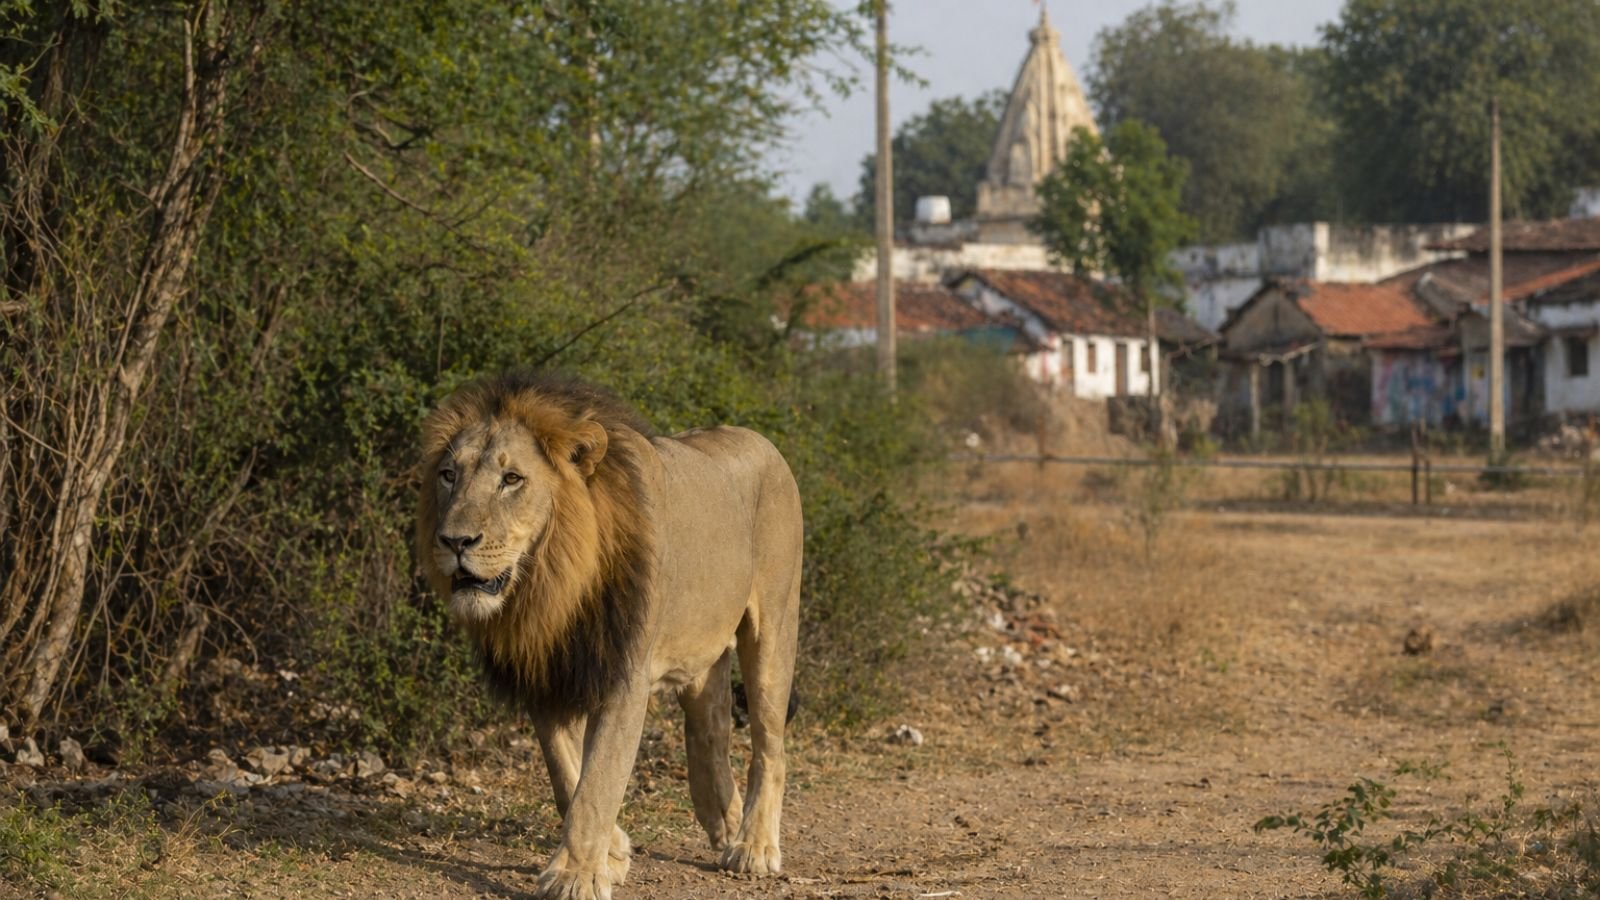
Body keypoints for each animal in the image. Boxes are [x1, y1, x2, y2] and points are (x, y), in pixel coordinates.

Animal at [416, 371, 803, 900]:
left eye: (512, 479)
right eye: (448, 475)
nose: (454, 542)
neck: (552, 582)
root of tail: (763, 441)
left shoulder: (624, 675)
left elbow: (598, 780)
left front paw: (575, 876)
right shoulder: (549, 672)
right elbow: (566, 774)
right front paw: (613, 852)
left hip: (774, 629)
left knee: (770, 746)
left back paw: (753, 847)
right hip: (701, 651)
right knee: (710, 732)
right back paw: (725, 823)